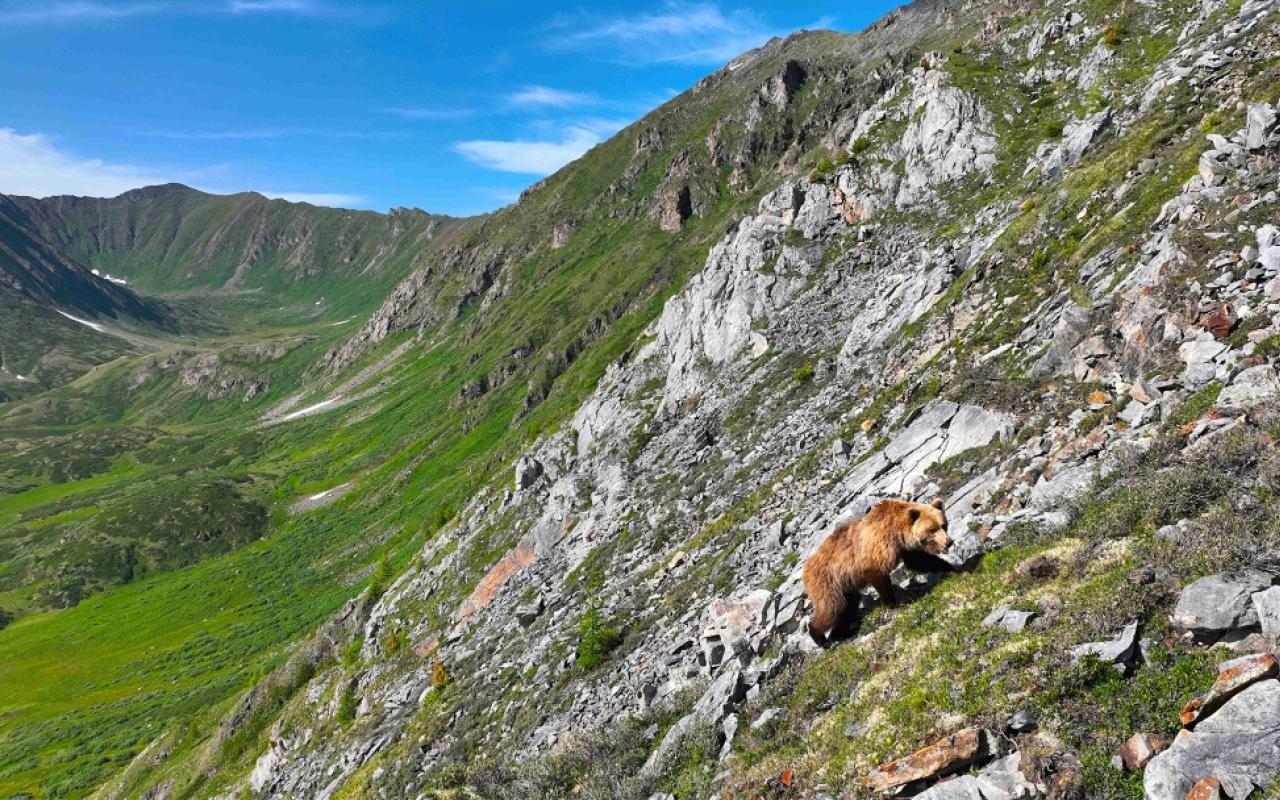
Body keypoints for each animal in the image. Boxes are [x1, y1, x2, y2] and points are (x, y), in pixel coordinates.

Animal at [803, 496, 957, 645]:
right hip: (828, 583)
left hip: (846, 586)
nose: (949, 542)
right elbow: (878, 574)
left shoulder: (904, 548)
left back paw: (840, 634)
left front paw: (953, 569)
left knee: (848, 607)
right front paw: (893, 604)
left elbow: (919, 561)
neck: (897, 531)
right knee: (833, 609)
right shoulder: (878, 545)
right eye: (932, 529)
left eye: (943, 525)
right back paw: (820, 638)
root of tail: (805, 570)